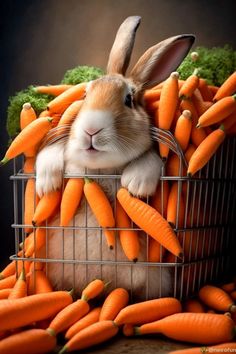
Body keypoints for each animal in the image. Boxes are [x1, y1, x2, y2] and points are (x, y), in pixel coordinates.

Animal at [34, 15, 194, 298]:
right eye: (85, 94)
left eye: (129, 99)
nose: (91, 130)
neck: (100, 170)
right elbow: (50, 152)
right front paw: (46, 184)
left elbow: (153, 160)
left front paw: (135, 185)